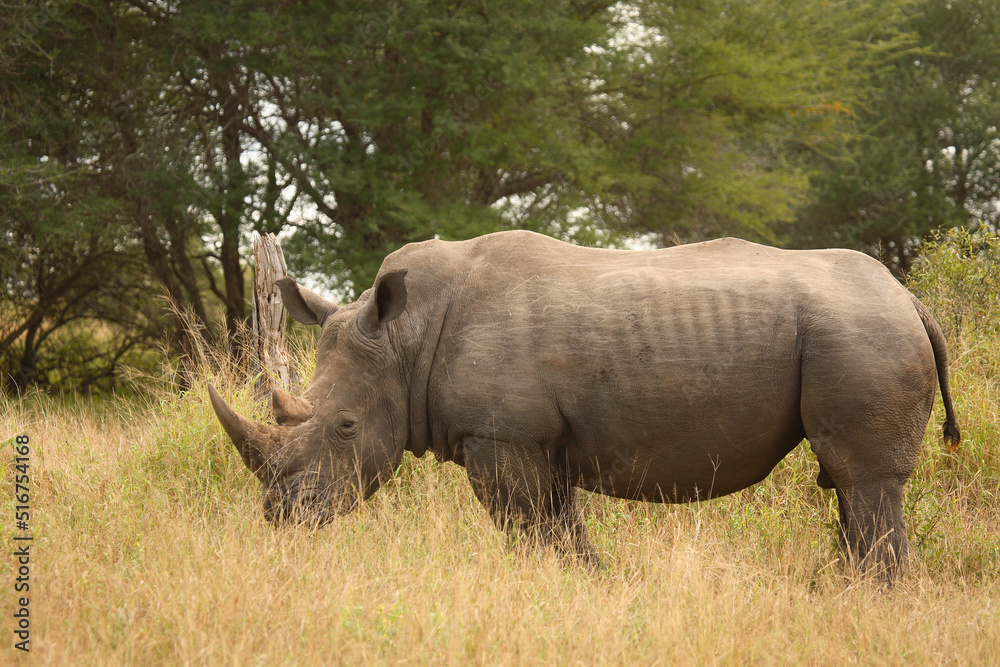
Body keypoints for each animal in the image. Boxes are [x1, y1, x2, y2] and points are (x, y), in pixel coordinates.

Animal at [208, 230, 959, 580]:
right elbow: (557, 525)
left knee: (865, 483)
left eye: (345, 426)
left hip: (861, 332)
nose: (282, 515)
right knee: (850, 490)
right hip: (861, 330)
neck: (403, 337)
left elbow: (527, 526)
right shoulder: (538, 439)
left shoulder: (500, 435)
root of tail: (912, 299)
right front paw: (592, 585)